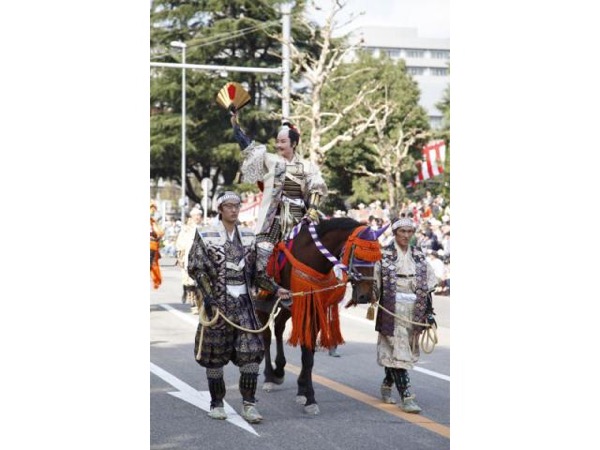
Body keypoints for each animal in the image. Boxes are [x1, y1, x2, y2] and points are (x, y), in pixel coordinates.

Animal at [253, 216, 384, 414]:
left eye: (376, 258)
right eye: (358, 256)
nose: (365, 296)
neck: (314, 257)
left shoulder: (313, 307)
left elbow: (310, 354)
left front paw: (303, 390)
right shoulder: (305, 305)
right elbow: (306, 354)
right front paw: (310, 398)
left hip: (287, 307)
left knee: (279, 327)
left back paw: (280, 370)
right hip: (263, 302)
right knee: (266, 337)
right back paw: (269, 377)